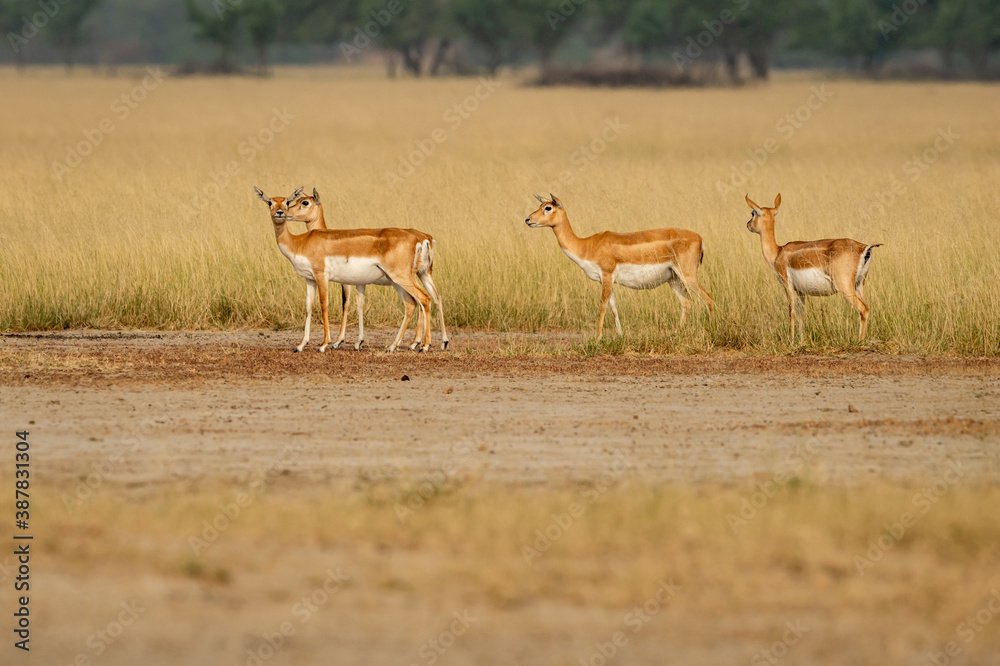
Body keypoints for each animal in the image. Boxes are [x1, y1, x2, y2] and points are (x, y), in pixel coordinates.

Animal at [255, 187, 434, 352]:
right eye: (270, 202)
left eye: (287, 201)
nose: (280, 213)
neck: (300, 242)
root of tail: (422, 239)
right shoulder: (310, 279)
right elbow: (309, 306)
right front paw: (301, 345)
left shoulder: (323, 276)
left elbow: (326, 304)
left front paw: (325, 344)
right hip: (401, 280)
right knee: (414, 302)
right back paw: (395, 346)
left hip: (402, 278)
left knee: (425, 299)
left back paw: (423, 346)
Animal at [524, 194, 713, 338]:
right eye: (540, 205)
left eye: (548, 207)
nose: (528, 219)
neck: (587, 246)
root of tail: (700, 239)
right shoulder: (605, 281)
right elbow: (613, 307)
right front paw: (620, 336)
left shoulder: (607, 276)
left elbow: (602, 306)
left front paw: (597, 339)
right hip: (673, 279)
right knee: (687, 302)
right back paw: (674, 334)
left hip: (687, 276)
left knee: (708, 297)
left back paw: (712, 332)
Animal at [745, 193, 881, 341]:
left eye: (753, 213)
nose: (748, 224)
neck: (778, 252)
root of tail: (864, 248)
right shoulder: (801, 291)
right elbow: (801, 314)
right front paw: (801, 341)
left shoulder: (787, 285)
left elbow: (791, 312)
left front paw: (791, 341)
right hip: (860, 284)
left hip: (845, 286)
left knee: (863, 309)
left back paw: (859, 341)